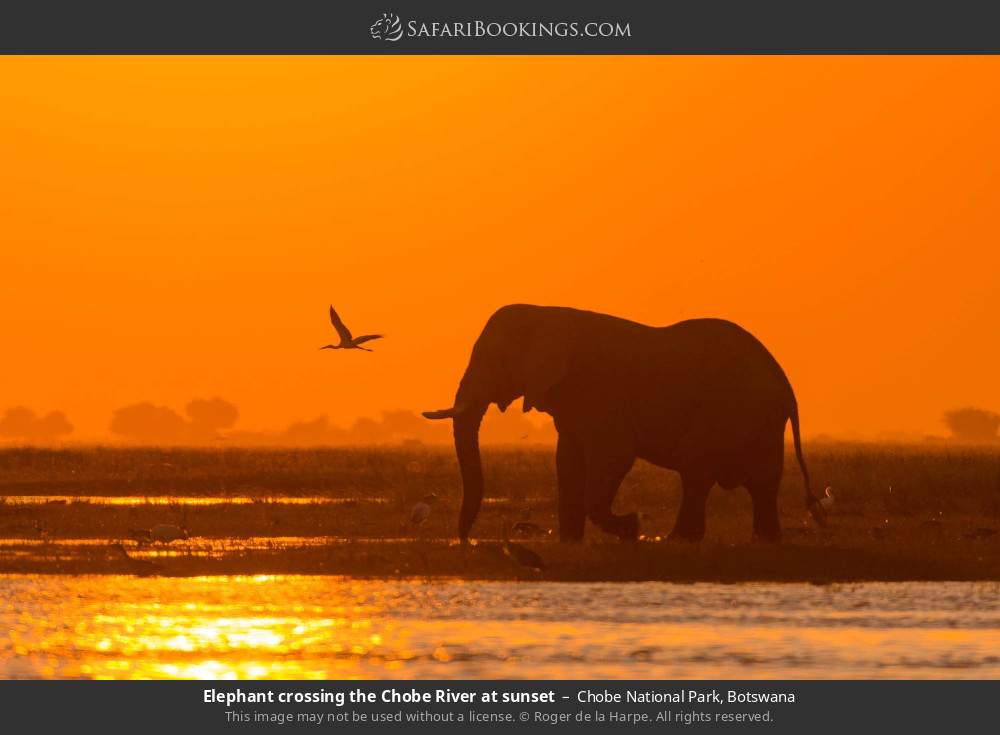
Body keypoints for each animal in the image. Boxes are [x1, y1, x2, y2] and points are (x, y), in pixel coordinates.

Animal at [423, 304, 826, 543]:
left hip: (740, 412)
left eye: (495, 361)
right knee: (758, 483)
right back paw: (761, 540)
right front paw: (570, 543)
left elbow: (613, 458)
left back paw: (678, 541)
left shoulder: (603, 393)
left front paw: (631, 528)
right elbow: (568, 461)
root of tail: (786, 383)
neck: (548, 313)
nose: (467, 541)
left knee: (701, 473)